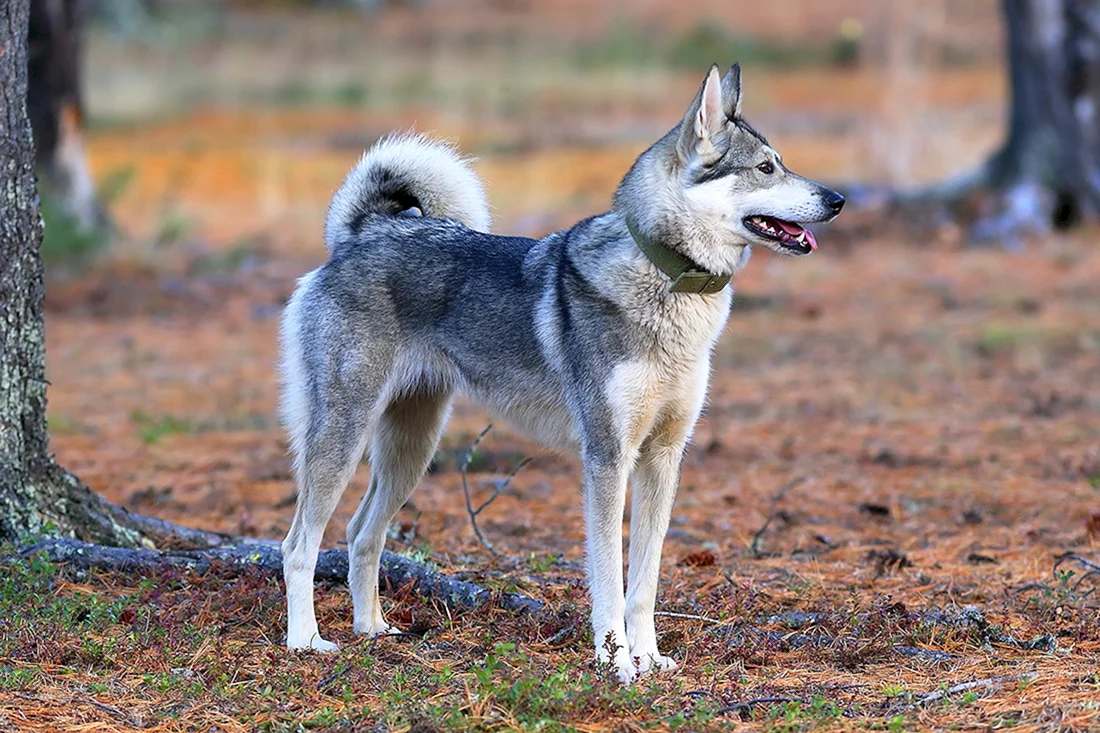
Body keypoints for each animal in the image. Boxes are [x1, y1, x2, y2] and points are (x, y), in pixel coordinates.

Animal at [281, 64, 840, 686]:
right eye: (766, 167)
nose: (838, 200)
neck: (667, 281)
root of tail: (361, 234)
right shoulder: (607, 458)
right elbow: (610, 579)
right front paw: (615, 662)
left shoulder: (663, 457)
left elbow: (644, 581)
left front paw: (649, 658)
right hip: (344, 437)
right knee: (298, 545)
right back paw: (306, 641)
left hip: (411, 450)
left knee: (361, 534)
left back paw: (372, 630)